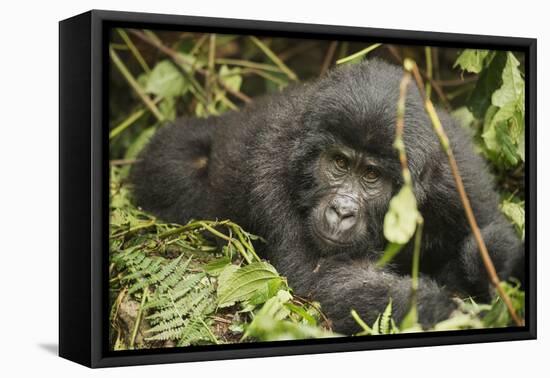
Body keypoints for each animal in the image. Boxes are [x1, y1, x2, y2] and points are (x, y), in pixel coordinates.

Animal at [133, 59, 528, 334]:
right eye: (339, 163)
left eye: (371, 175)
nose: (341, 211)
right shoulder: (270, 167)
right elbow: (322, 279)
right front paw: (442, 310)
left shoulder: (457, 174)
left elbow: (487, 230)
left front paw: (500, 273)